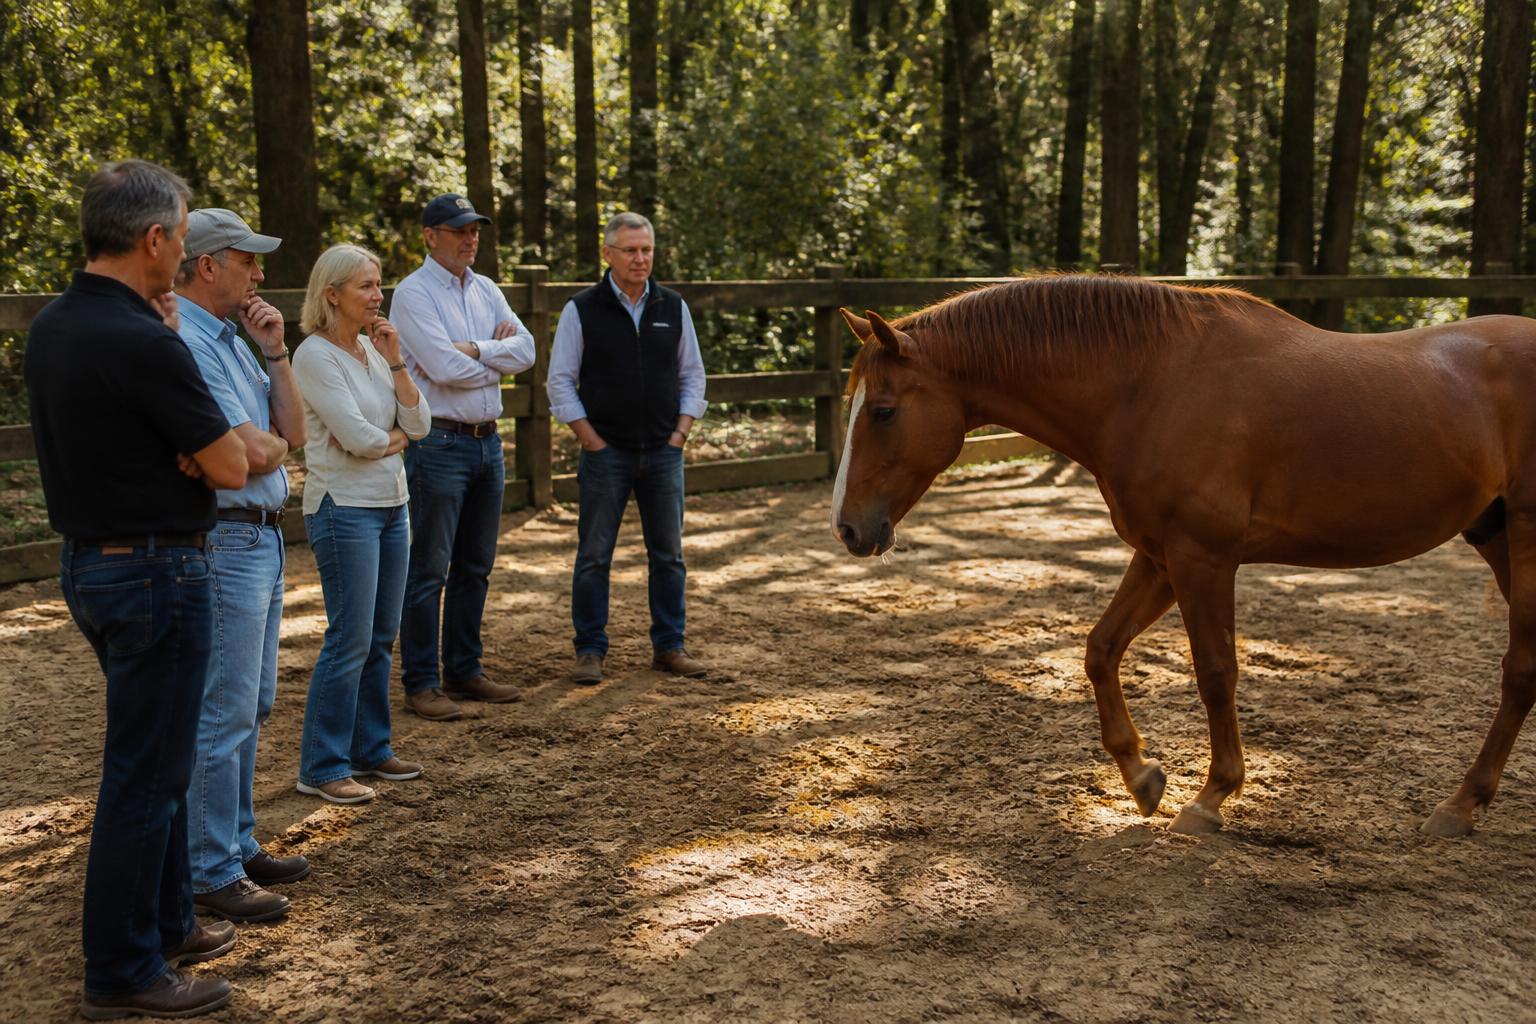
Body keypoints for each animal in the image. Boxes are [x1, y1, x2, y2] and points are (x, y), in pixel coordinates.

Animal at [830, 274, 1536, 836]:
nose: (847, 529)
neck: (1150, 383)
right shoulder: (1160, 558)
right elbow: (1100, 650)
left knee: (1519, 671)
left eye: (884, 411)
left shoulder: (1204, 559)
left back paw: (1460, 804)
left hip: (1525, 544)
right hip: (1496, 538)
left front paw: (1210, 797)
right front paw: (1142, 776)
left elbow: (1216, 673)